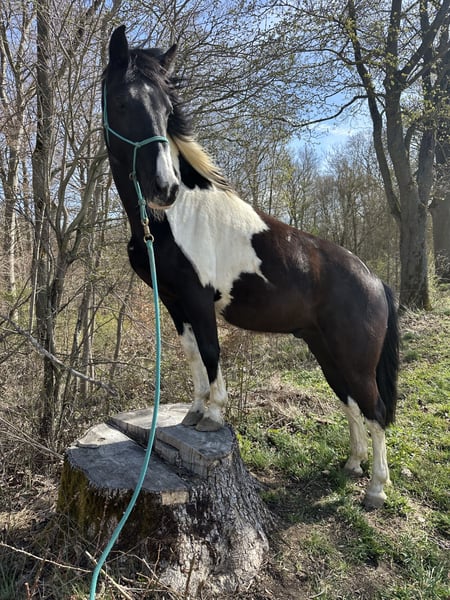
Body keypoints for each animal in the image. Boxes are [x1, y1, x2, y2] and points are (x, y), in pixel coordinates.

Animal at [102, 25, 399, 509]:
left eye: (167, 109)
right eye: (123, 103)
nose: (164, 187)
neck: (173, 218)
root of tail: (375, 281)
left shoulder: (199, 302)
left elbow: (210, 351)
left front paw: (213, 414)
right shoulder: (176, 304)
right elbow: (192, 355)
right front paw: (194, 411)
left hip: (355, 359)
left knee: (373, 410)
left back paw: (375, 487)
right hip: (326, 351)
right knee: (351, 404)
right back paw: (352, 465)